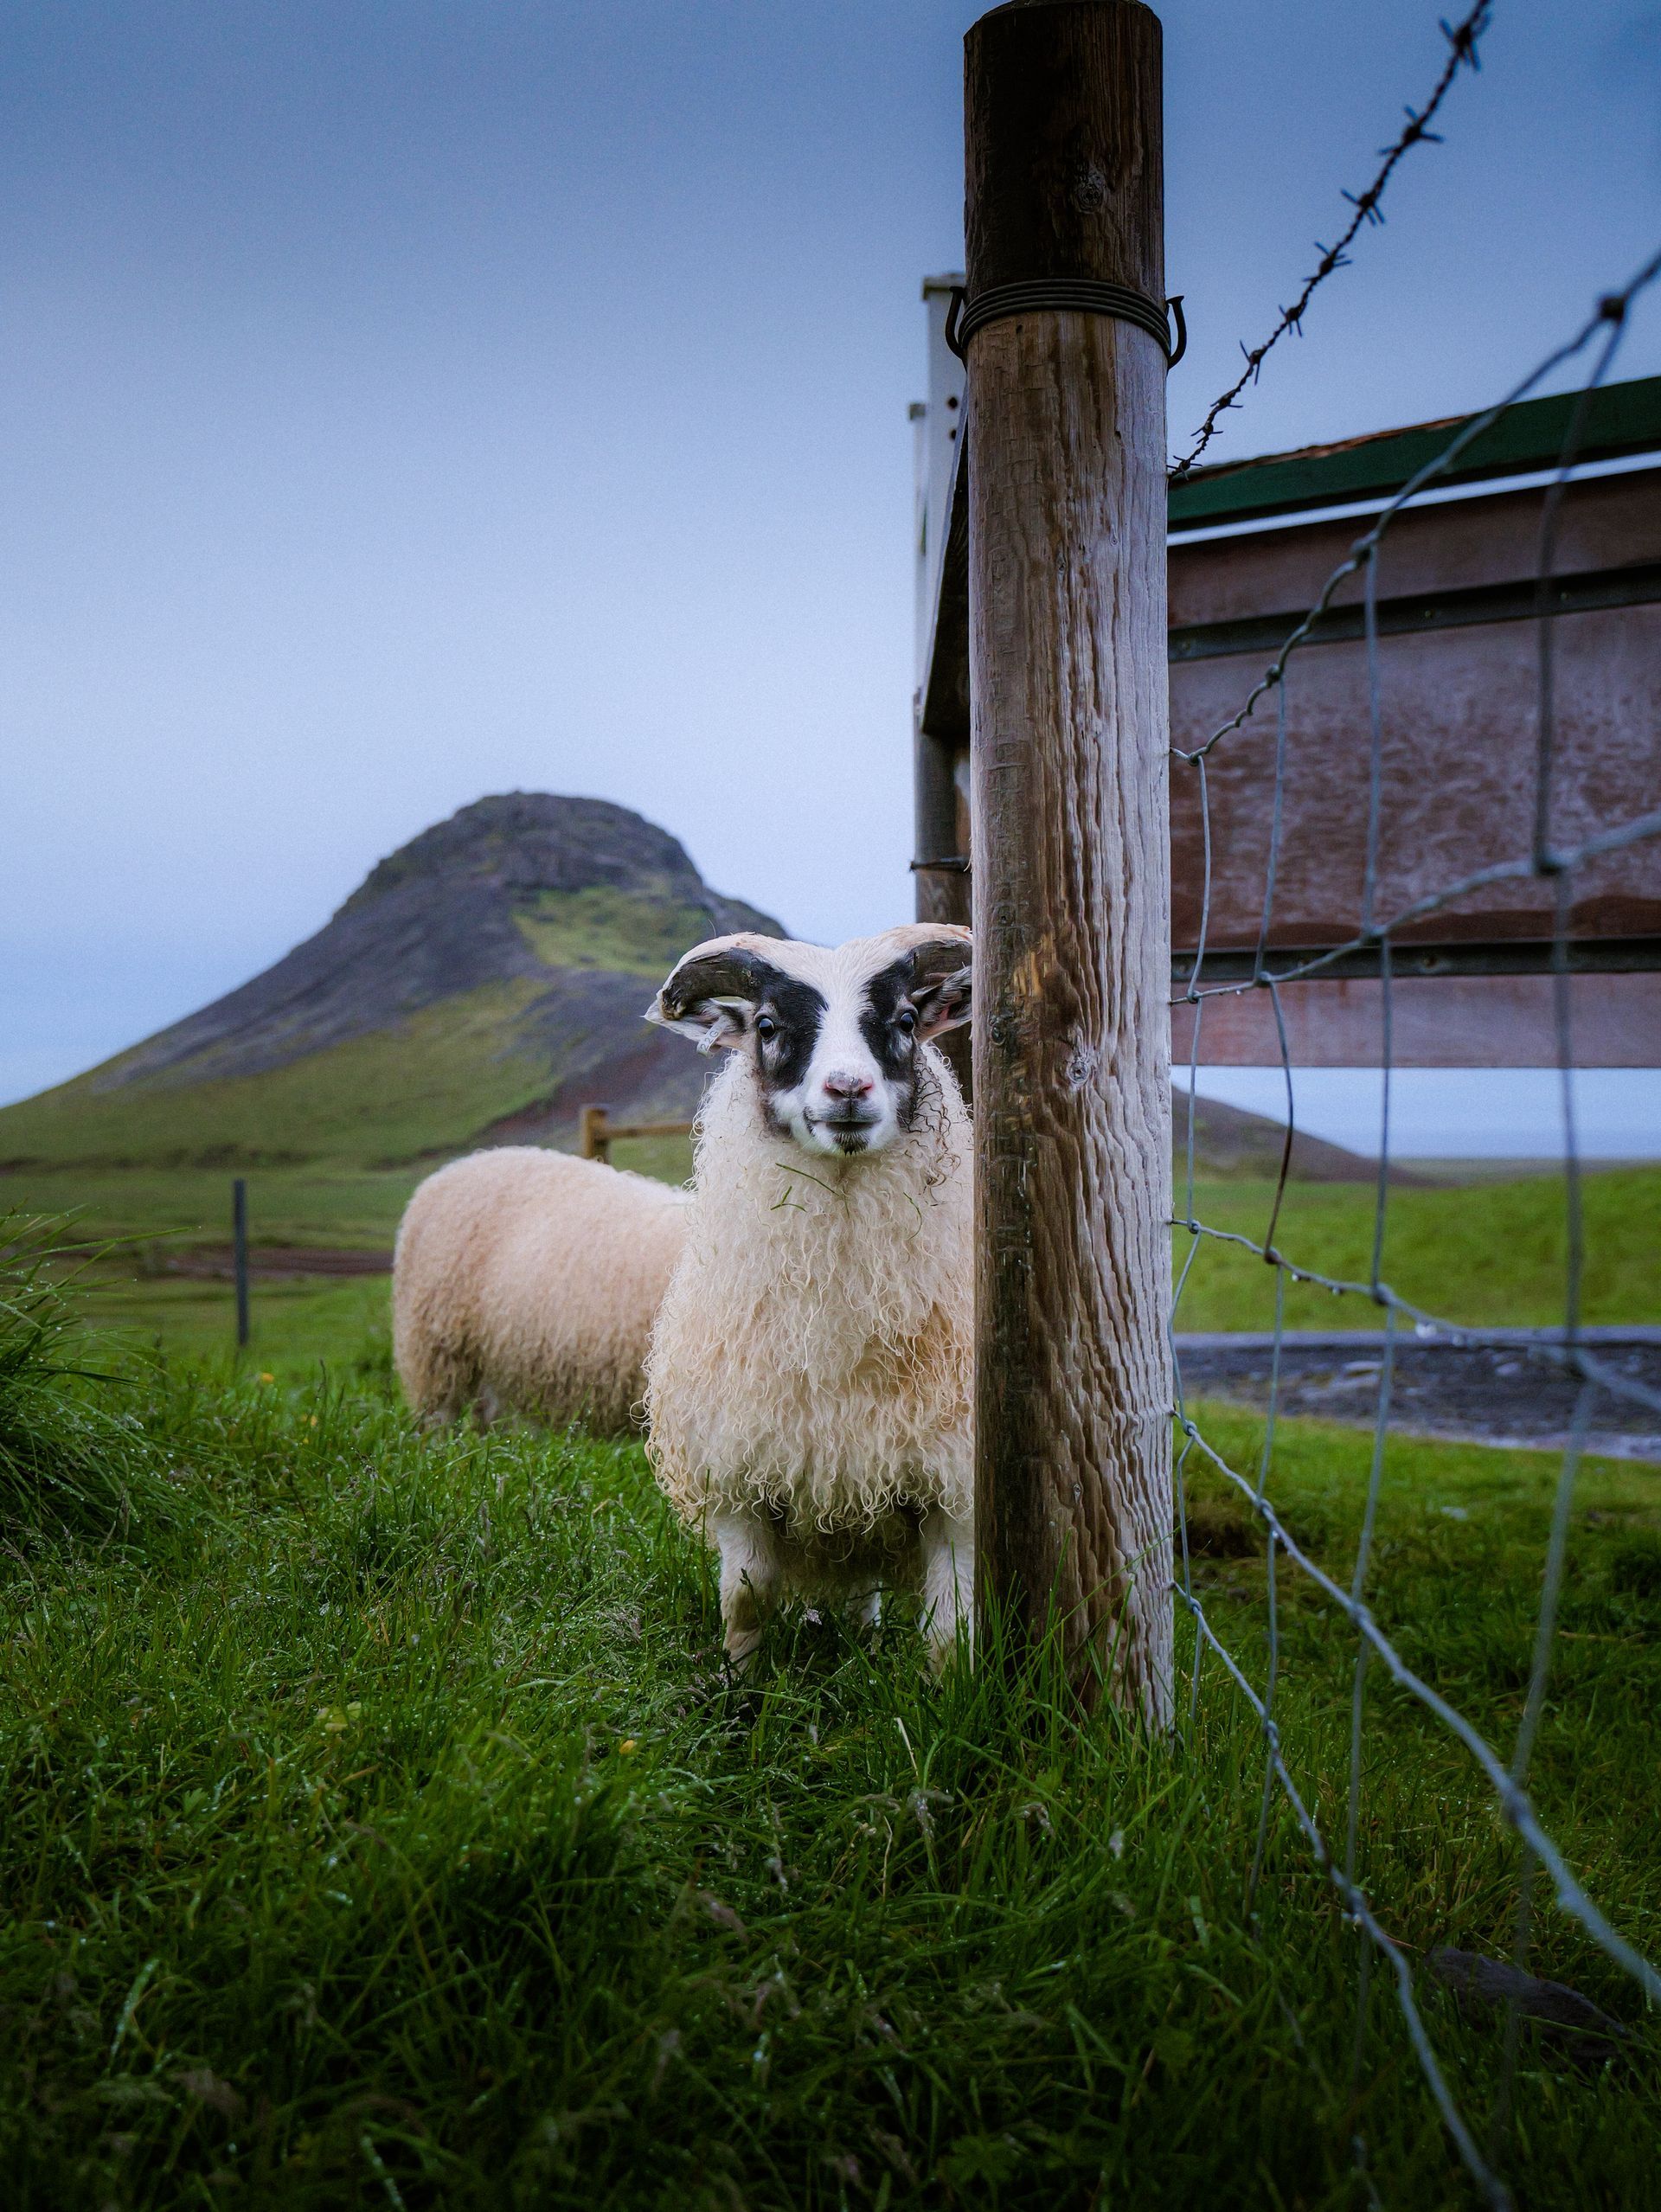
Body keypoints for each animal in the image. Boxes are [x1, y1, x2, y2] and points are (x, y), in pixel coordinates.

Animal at [642, 924, 974, 1669]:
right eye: (767, 1026)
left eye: (903, 1021)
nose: (848, 1086)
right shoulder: (741, 1467)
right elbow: (746, 1597)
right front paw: (738, 1684)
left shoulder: (952, 1480)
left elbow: (950, 1629)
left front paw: (950, 1694)